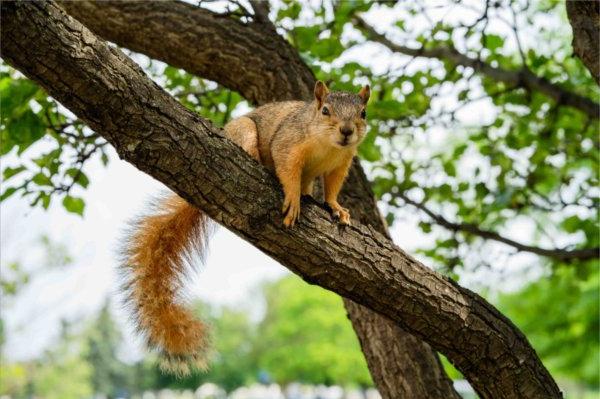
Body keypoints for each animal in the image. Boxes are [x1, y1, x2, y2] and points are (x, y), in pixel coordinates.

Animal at [122, 80, 370, 376]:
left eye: (363, 113)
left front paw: (336, 208)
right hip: (244, 131)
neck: (327, 146)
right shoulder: (289, 144)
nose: (347, 131)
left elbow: (332, 188)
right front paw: (293, 199)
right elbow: (287, 169)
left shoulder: (341, 162)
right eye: (325, 111)